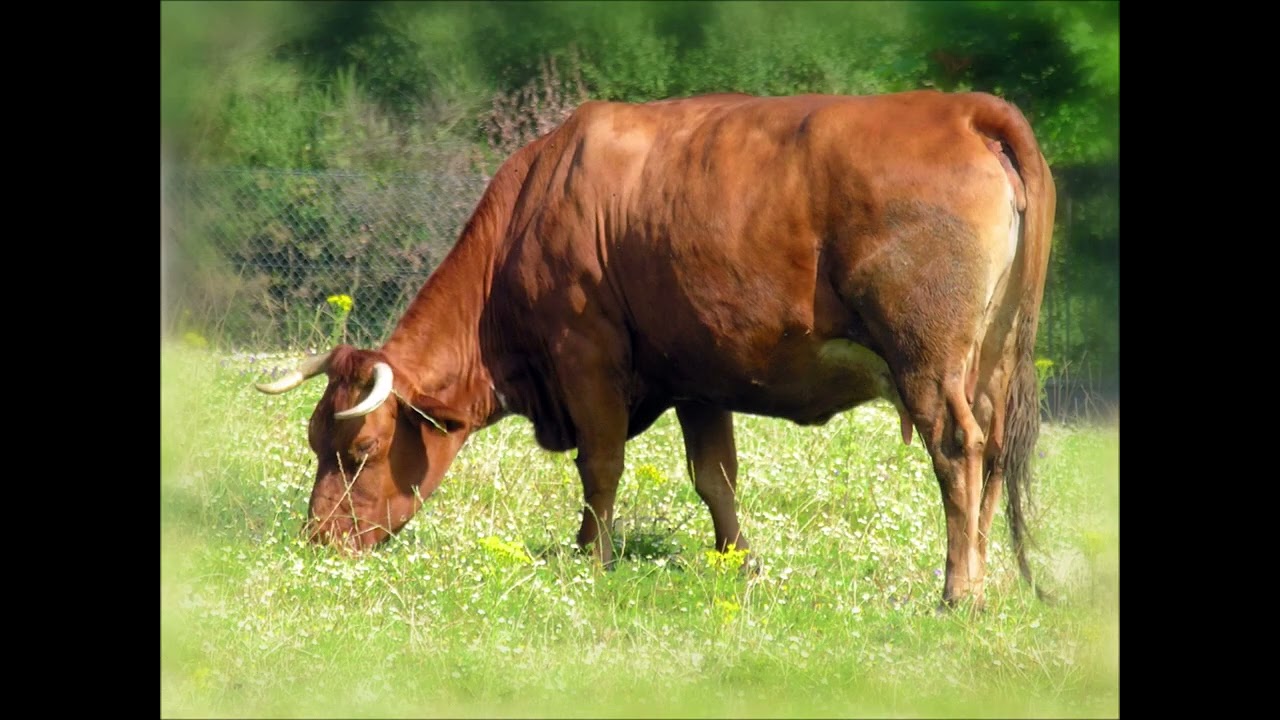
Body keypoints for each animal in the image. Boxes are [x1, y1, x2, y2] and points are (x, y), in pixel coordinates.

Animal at [256, 90, 1055, 609]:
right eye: (313, 441)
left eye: (359, 451)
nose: (318, 540)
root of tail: (961, 108)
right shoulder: (699, 375)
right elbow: (716, 478)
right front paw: (739, 565)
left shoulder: (586, 355)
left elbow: (600, 466)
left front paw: (591, 556)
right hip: (989, 361)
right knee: (991, 457)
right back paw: (985, 572)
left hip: (928, 359)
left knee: (957, 449)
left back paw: (959, 589)